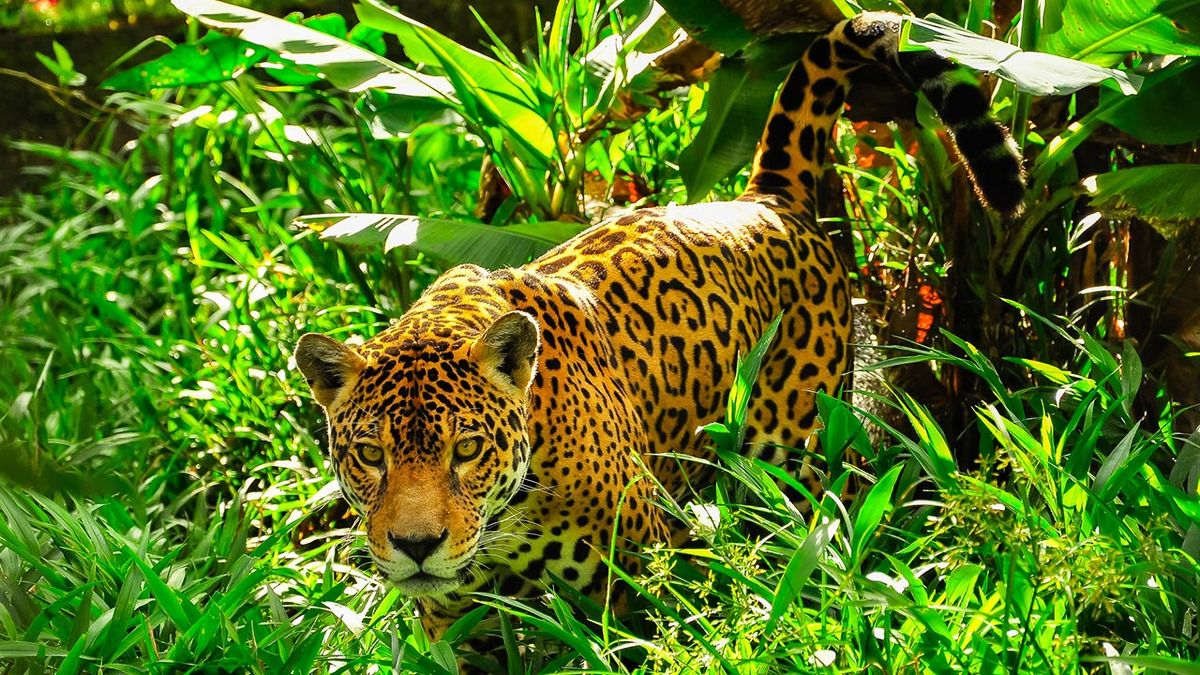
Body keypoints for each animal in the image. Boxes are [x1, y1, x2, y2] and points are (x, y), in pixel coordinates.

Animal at [294, 11, 1024, 642]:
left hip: (801, 458)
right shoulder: (460, 630)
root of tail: (767, 196)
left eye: (466, 449)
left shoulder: (641, 590)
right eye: (370, 455)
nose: (416, 546)